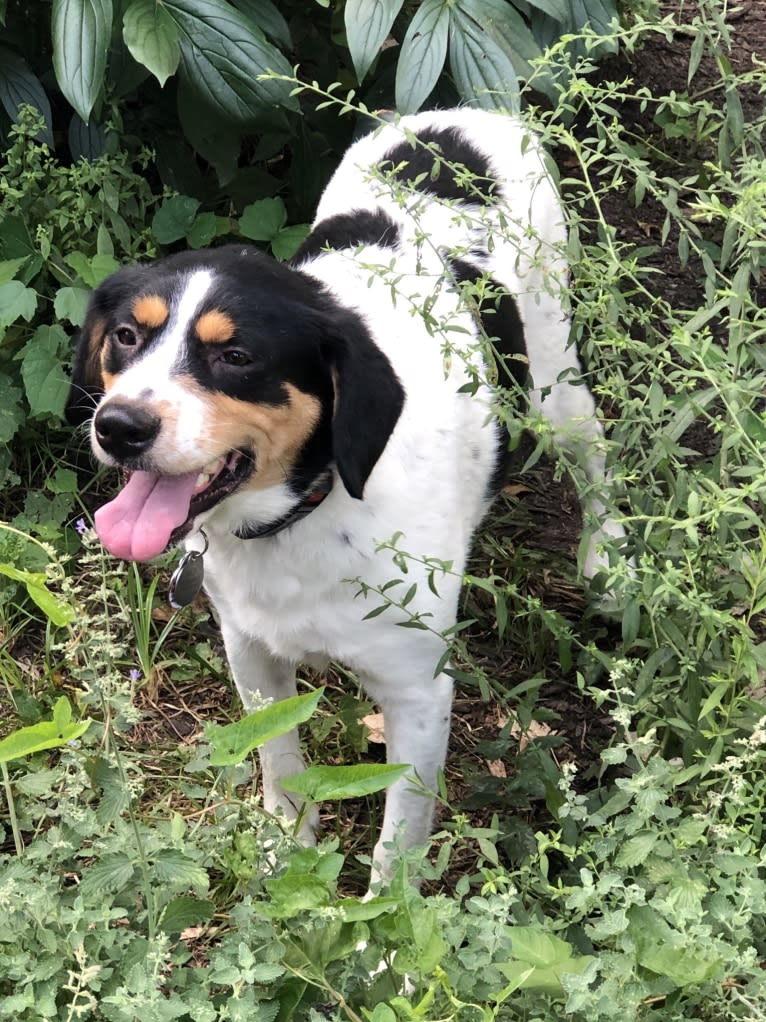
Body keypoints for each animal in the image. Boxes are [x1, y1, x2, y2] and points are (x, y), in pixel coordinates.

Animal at [67, 107, 629, 883]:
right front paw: (285, 852)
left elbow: (397, 852)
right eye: (125, 335)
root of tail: (471, 111)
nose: (117, 426)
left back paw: (608, 560)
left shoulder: (419, 693)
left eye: (236, 357)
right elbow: (278, 762)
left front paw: (378, 917)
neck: (305, 513)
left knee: (594, 450)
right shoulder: (251, 653)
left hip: (553, 378)